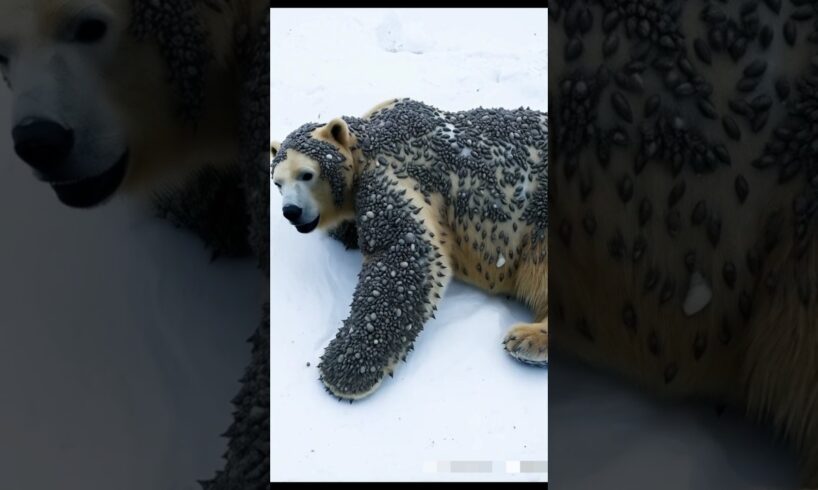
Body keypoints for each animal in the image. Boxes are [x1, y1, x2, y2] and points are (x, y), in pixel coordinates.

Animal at [272, 97, 548, 400]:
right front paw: (345, 230)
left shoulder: (390, 172)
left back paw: (526, 339)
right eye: (277, 182)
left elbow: (405, 249)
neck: (368, 138)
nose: (291, 211)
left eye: (307, 174)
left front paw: (344, 368)